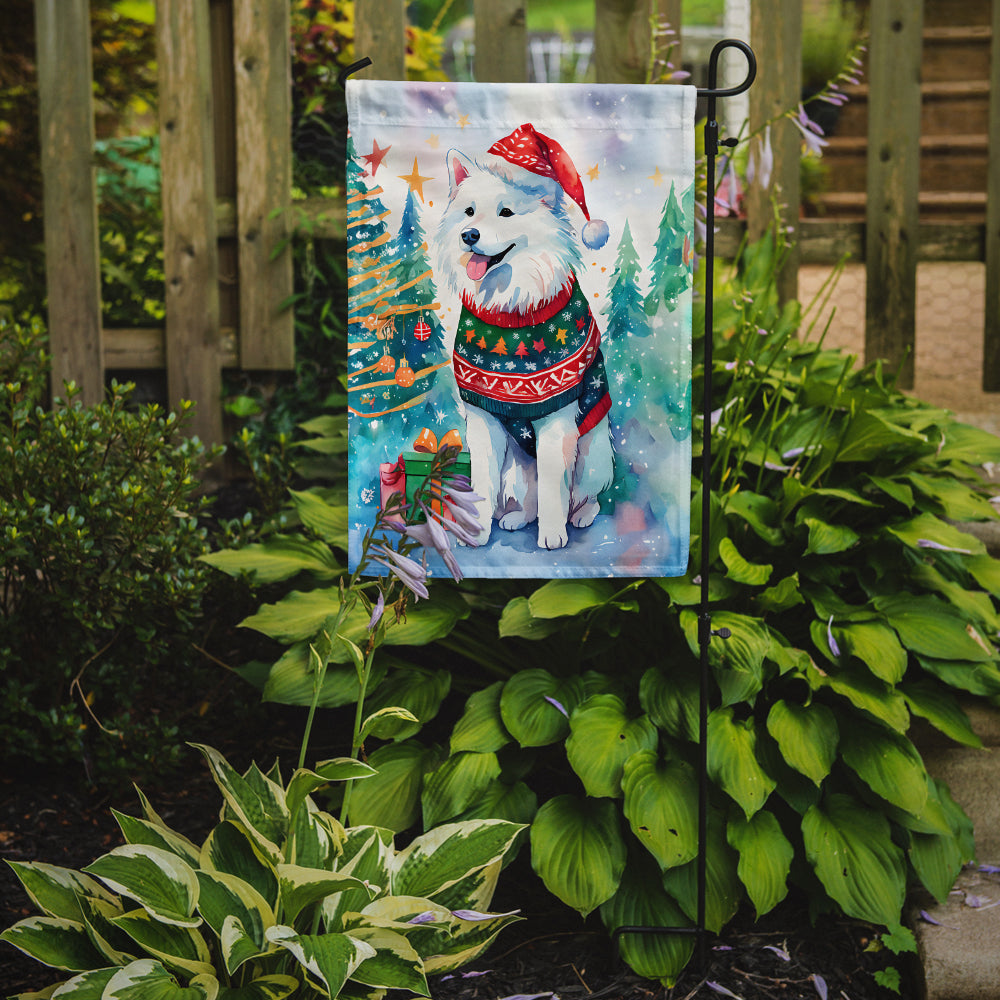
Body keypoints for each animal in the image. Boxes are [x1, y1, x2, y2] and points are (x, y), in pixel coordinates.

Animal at [434, 129, 612, 552]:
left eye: (506, 213)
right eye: (468, 212)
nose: (469, 236)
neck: (511, 307)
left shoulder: (556, 417)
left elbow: (553, 486)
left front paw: (552, 535)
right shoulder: (483, 418)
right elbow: (483, 483)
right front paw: (477, 533)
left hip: (594, 453)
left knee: (585, 495)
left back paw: (579, 517)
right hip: (517, 465)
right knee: (525, 498)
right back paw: (517, 518)